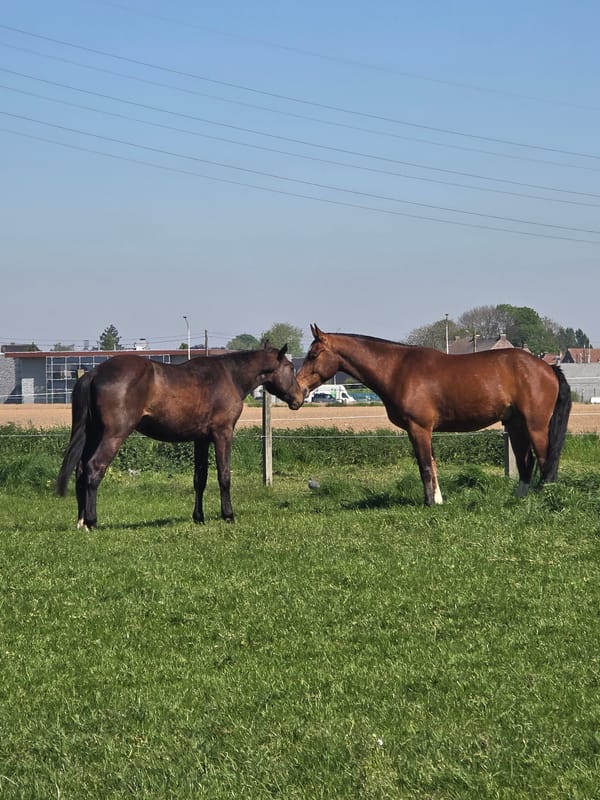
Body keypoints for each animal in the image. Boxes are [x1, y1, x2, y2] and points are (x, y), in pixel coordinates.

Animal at [57, 344, 304, 528]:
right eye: (290, 367)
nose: (300, 398)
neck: (230, 376)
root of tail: (94, 373)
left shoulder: (201, 439)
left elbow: (199, 479)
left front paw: (199, 518)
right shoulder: (223, 433)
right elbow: (224, 475)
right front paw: (228, 515)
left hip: (93, 434)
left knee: (81, 469)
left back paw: (81, 520)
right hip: (113, 435)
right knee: (94, 468)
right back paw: (91, 520)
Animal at [296, 324, 572, 506]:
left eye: (313, 354)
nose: (297, 391)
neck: (397, 369)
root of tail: (547, 367)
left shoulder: (419, 428)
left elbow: (425, 466)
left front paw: (429, 503)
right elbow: (433, 464)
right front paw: (438, 500)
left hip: (536, 426)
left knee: (546, 460)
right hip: (516, 425)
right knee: (527, 463)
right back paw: (518, 501)